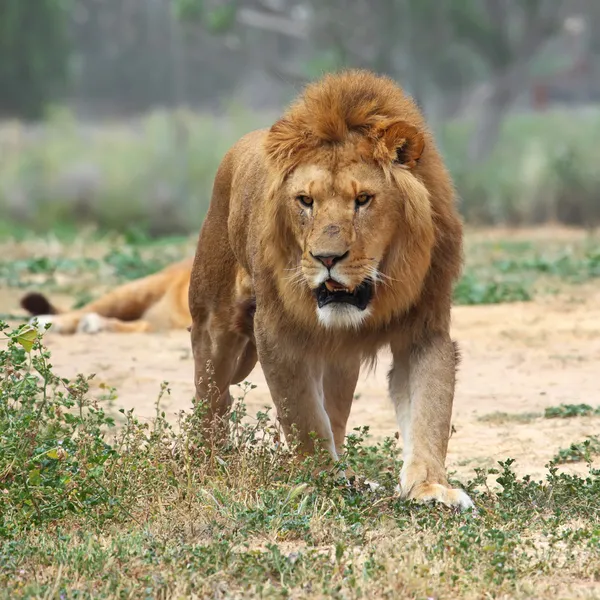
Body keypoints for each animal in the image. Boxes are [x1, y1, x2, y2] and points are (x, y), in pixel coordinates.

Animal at [188, 70, 474, 510]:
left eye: (363, 199)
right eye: (305, 200)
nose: (326, 258)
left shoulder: (424, 331)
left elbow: (430, 411)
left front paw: (430, 488)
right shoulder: (276, 331)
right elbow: (302, 417)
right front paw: (320, 479)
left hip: (341, 363)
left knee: (335, 415)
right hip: (212, 321)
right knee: (211, 398)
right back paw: (208, 464)